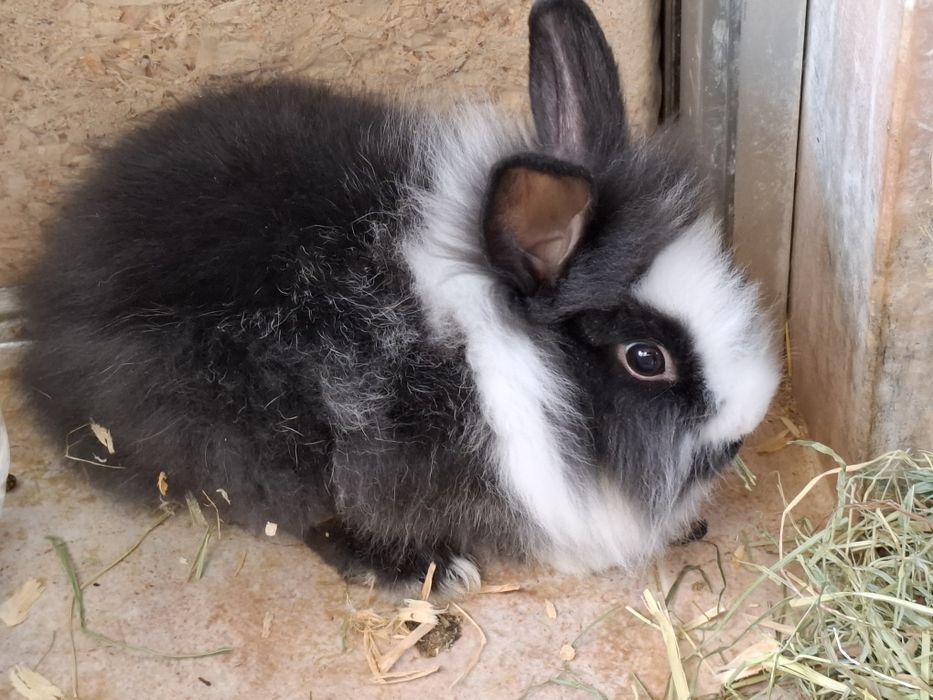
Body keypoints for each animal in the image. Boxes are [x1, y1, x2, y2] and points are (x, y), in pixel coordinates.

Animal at [20, 0, 780, 594]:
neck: (493, 355)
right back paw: (423, 571)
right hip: (250, 436)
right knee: (295, 509)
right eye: (645, 358)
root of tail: (46, 325)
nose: (740, 436)